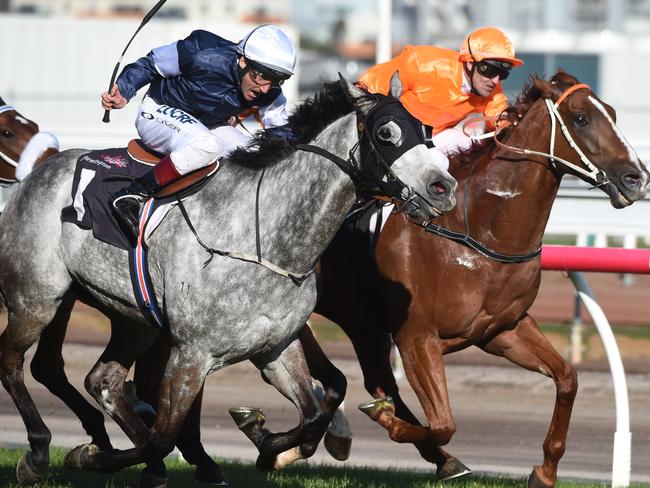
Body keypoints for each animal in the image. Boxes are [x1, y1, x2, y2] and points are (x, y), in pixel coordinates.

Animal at [0, 75, 456, 484]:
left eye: (427, 130)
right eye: (386, 133)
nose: (444, 187)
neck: (265, 239)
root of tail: (41, 169)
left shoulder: (277, 347)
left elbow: (312, 418)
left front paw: (264, 440)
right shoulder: (190, 354)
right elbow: (164, 435)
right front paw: (92, 456)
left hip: (132, 318)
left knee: (103, 380)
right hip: (37, 299)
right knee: (13, 361)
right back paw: (39, 452)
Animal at [312, 70, 644, 486]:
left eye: (612, 113)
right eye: (581, 118)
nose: (637, 179)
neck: (479, 231)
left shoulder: (500, 329)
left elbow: (567, 378)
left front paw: (545, 471)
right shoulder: (416, 337)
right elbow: (443, 423)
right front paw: (387, 420)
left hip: (361, 323)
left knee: (366, 377)